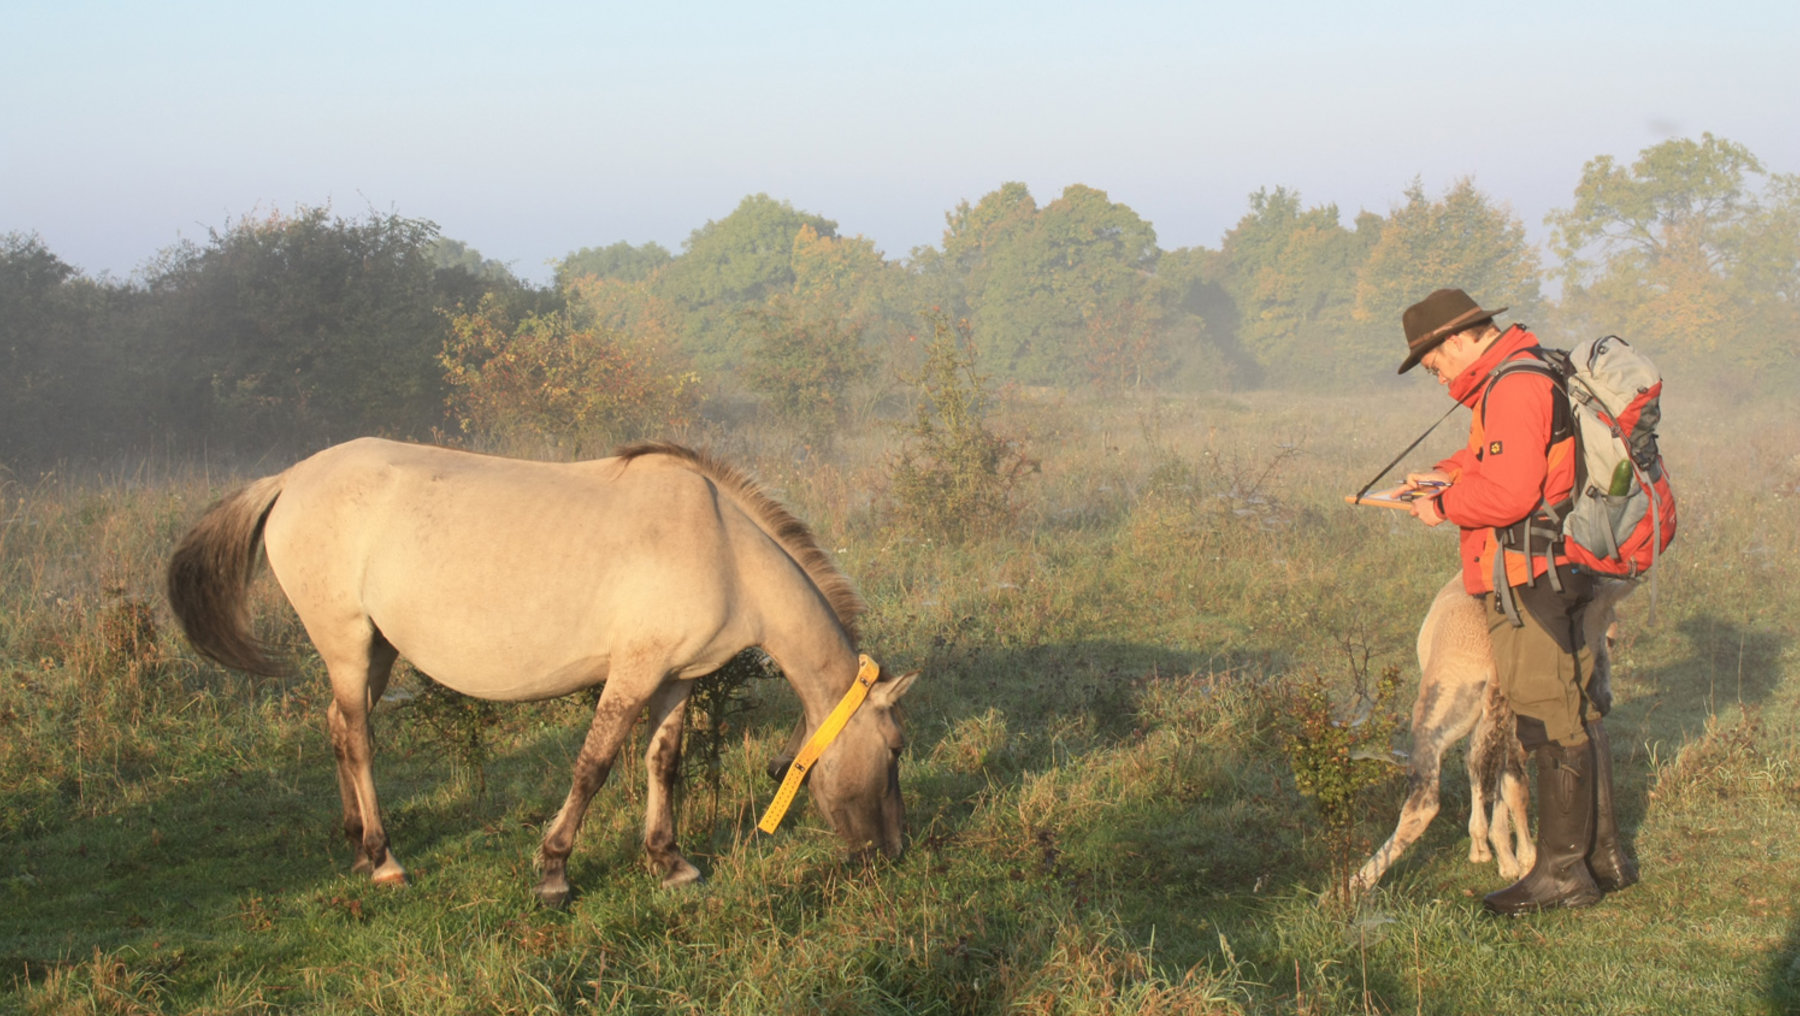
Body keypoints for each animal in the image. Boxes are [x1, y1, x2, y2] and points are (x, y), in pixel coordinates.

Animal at [166, 437, 917, 906]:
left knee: (336, 729)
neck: (724, 545)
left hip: (374, 652)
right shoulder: (633, 674)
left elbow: (663, 763)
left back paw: (356, 847)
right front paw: (554, 870)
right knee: (356, 741)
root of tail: (290, 478)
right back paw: (384, 861)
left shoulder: (675, 678)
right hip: (348, 645)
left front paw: (669, 861)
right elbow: (595, 765)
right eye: (895, 750)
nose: (895, 852)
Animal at [1347, 574, 1634, 896]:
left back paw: (1356, 883)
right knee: (1514, 781)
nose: (1603, 702)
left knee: (1425, 802)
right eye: (1610, 639)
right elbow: (1497, 780)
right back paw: (1526, 862)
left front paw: (1482, 848)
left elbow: (1477, 770)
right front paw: (1502, 855)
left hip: (1437, 716)